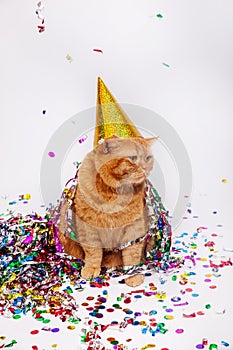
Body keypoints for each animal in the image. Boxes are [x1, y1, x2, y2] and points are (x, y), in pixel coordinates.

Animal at [58, 135, 157, 286]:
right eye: (133, 158)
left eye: (148, 158)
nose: (145, 168)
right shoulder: (87, 226)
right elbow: (93, 251)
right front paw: (92, 268)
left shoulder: (135, 227)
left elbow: (131, 254)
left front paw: (133, 273)